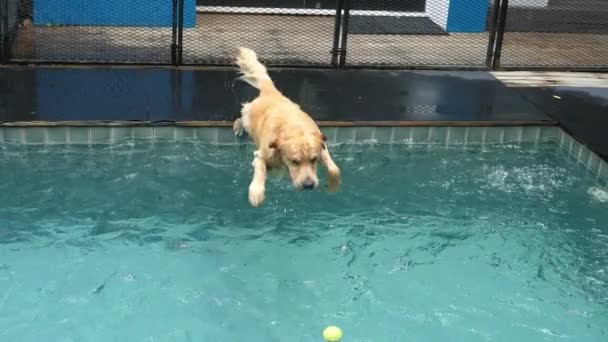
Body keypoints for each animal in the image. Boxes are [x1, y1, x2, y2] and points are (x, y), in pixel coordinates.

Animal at [232, 46, 340, 207]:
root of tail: (273, 93)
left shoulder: (322, 147)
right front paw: (256, 193)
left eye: (314, 159)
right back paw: (238, 127)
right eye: (294, 161)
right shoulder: (262, 154)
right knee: (243, 112)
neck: (295, 129)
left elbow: (334, 169)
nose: (308, 185)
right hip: (249, 117)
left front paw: (333, 187)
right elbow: (260, 168)